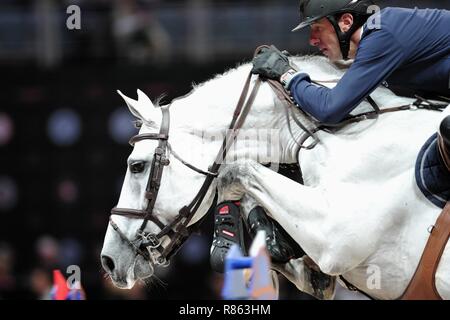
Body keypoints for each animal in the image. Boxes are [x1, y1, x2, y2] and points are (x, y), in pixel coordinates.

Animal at [102, 55, 450, 300]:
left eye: (137, 166)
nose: (109, 261)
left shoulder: (336, 237)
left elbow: (234, 170)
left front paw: (225, 248)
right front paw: (265, 245)